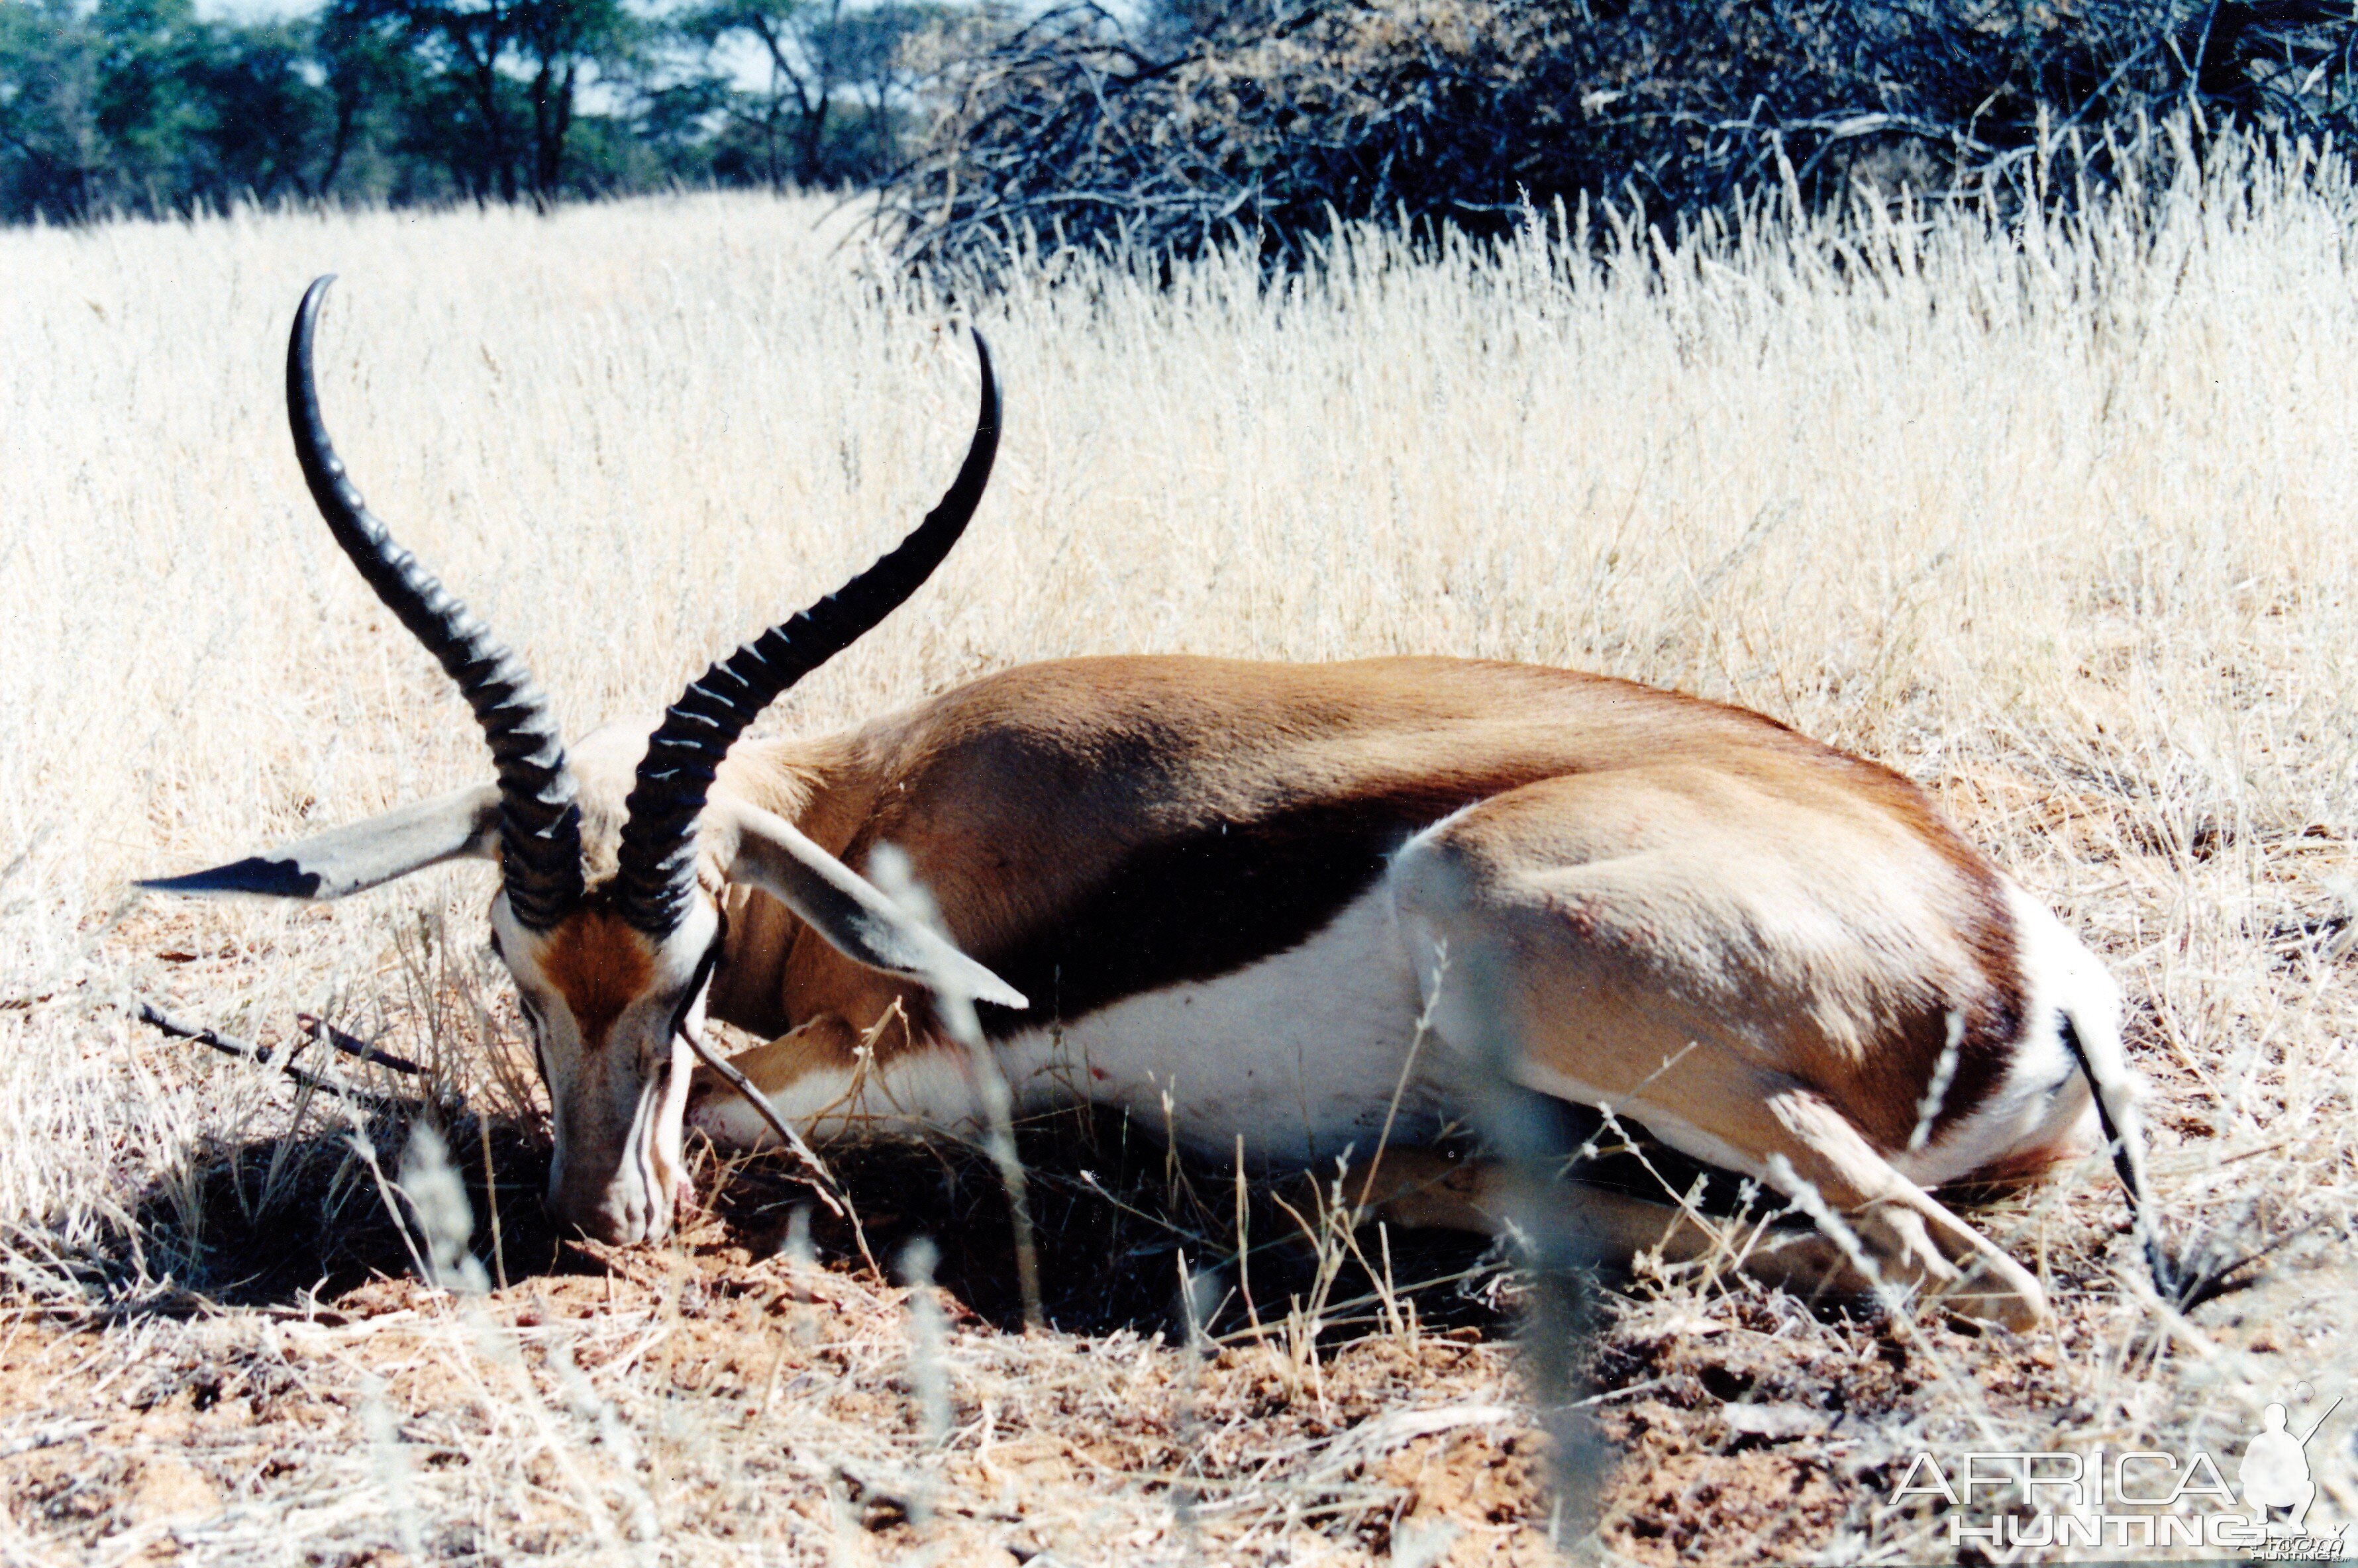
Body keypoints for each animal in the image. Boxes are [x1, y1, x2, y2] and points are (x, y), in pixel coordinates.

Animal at [152, 278, 2169, 1320]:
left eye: (693, 966)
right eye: (511, 968)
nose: (597, 1222)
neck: (878, 801)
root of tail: (2016, 951)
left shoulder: (905, 1048)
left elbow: (746, 1105)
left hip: (1506, 909)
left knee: (1948, 1268)